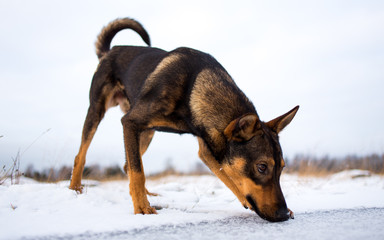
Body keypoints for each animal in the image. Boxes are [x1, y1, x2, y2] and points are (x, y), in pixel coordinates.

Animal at [70, 17, 300, 222]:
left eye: (282, 167)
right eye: (262, 167)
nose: (282, 214)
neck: (194, 88)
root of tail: (110, 51)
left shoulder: (207, 147)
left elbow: (228, 176)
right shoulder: (130, 122)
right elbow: (138, 171)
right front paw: (142, 208)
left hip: (147, 132)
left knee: (127, 165)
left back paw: (147, 194)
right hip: (98, 112)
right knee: (83, 155)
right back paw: (75, 189)